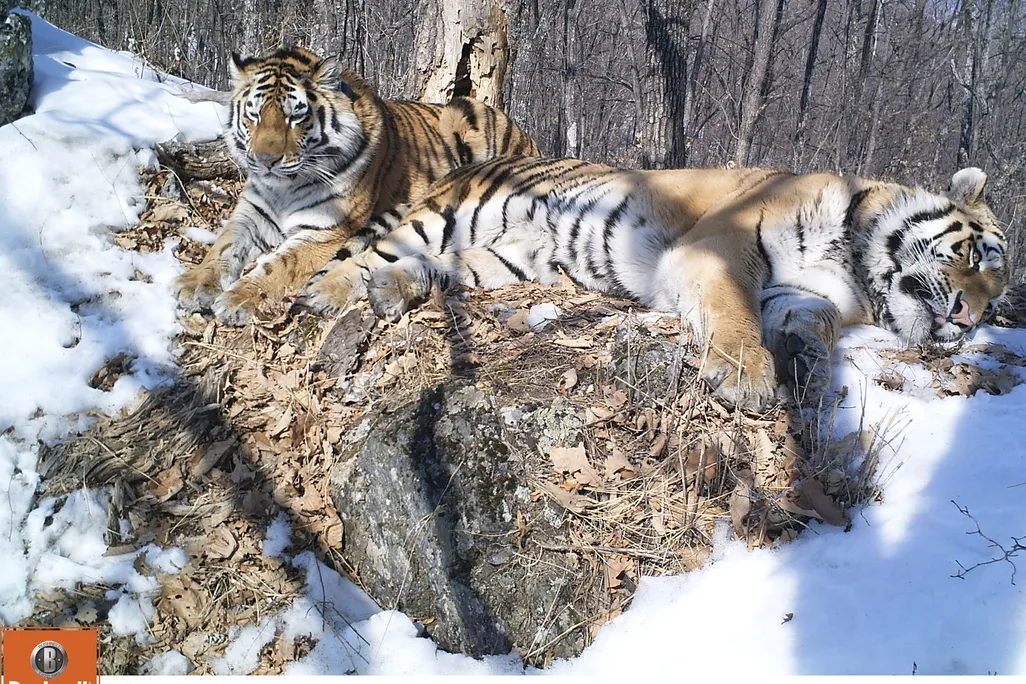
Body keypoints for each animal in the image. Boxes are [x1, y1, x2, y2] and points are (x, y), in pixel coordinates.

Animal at [172, 46, 540, 326]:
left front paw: (237, 299)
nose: (265, 160)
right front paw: (193, 284)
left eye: (295, 116)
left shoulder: (324, 231)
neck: (284, 187)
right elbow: (222, 247)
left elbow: (278, 266)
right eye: (254, 115)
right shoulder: (251, 213)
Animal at [298, 156, 1008, 411]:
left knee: (432, 268)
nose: (970, 319)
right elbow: (733, 312)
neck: (855, 263)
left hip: (505, 260)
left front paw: (804, 363)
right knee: (359, 255)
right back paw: (324, 295)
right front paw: (747, 376)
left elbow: (814, 323)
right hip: (449, 215)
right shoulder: (721, 247)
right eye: (976, 258)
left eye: (998, 298)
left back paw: (393, 291)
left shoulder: (804, 293)